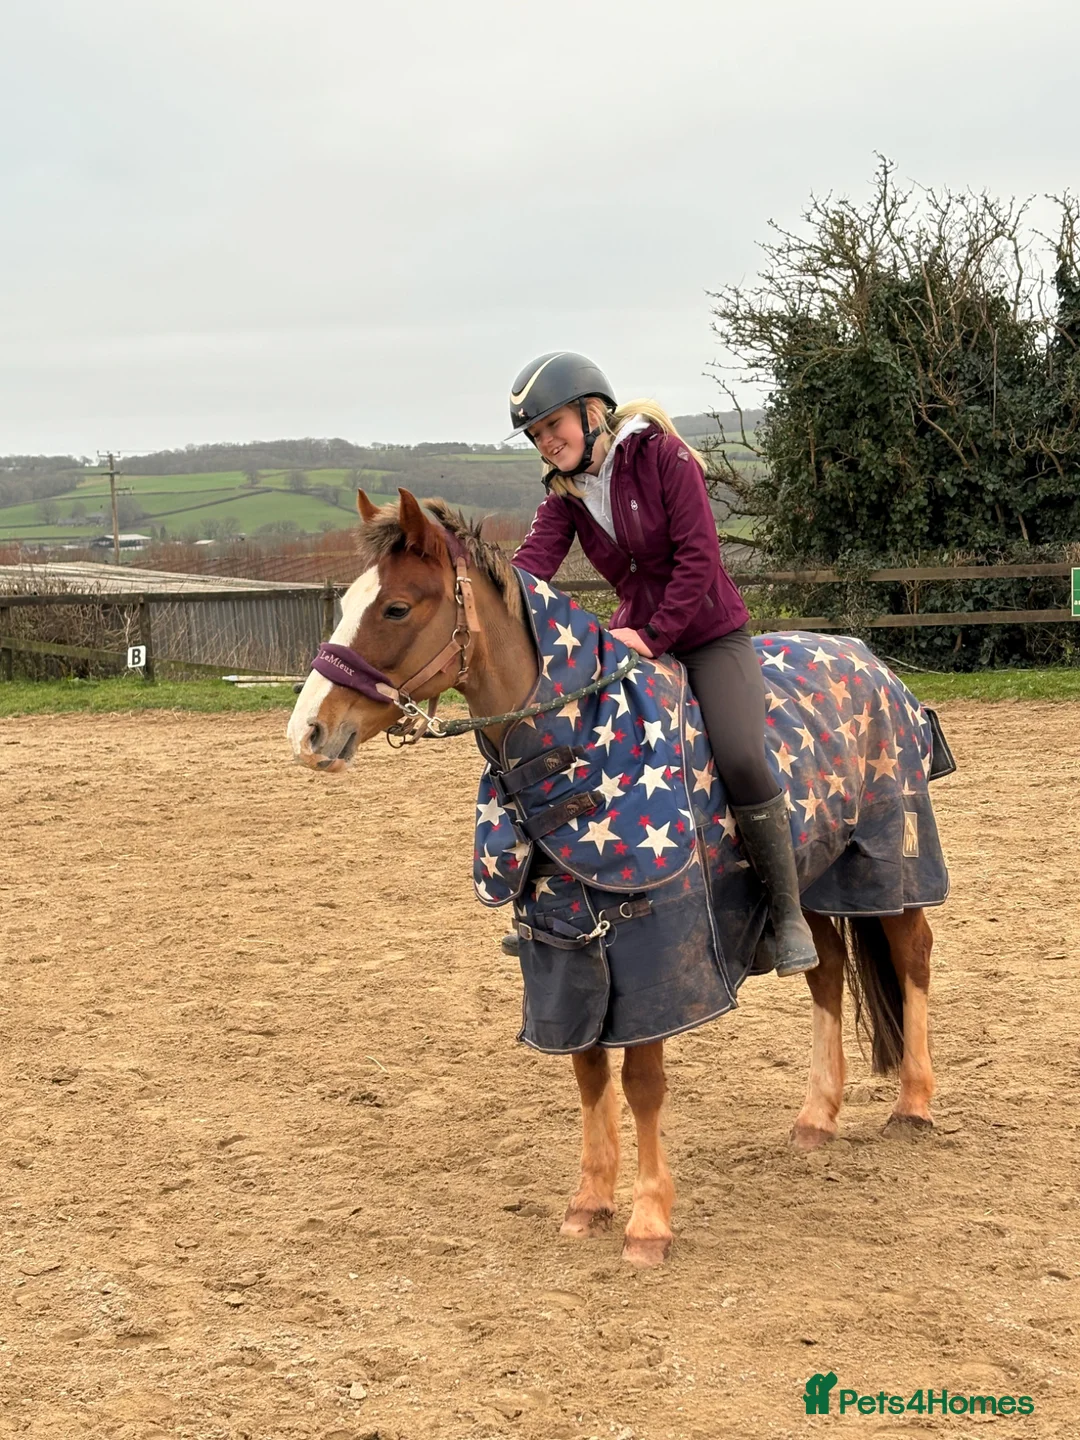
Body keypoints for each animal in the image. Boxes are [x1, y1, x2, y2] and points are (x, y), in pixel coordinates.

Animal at [287, 489, 942, 1268]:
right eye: (348, 602)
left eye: (394, 608)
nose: (308, 733)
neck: (581, 753)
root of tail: (869, 660)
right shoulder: (562, 951)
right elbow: (587, 1069)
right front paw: (590, 1201)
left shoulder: (657, 955)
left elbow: (642, 1082)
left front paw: (649, 1221)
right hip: (809, 875)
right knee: (826, 970)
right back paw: (818, 1115)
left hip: (888, 861)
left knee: (911, 954)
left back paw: (914, 1105)